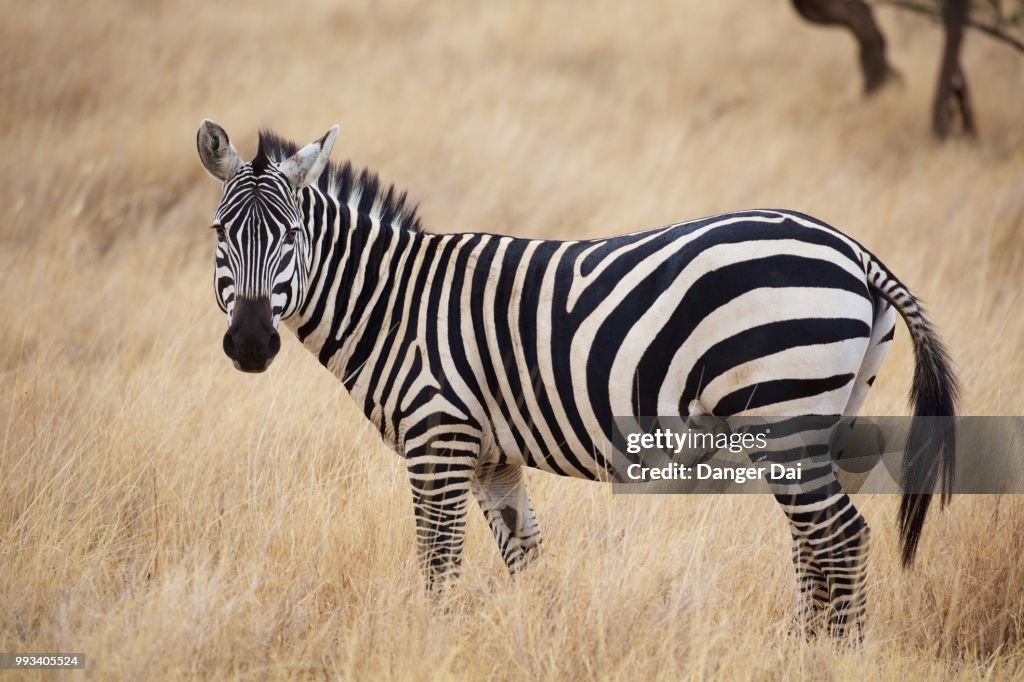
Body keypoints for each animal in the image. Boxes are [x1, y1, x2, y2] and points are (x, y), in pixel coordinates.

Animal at [196, 120, 958, 638]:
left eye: (293, 235)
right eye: (219, 235)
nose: (251, 343)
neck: (394, 304)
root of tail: (852, 248)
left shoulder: (438, 440)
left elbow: (439, 566)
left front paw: (434, 644)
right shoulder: (490, 457)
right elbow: (524, 557)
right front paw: (537, 640)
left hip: (783, 418)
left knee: (841, 540)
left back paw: (835, 655)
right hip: (823, 421)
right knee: (813, 545)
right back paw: (804, 649)